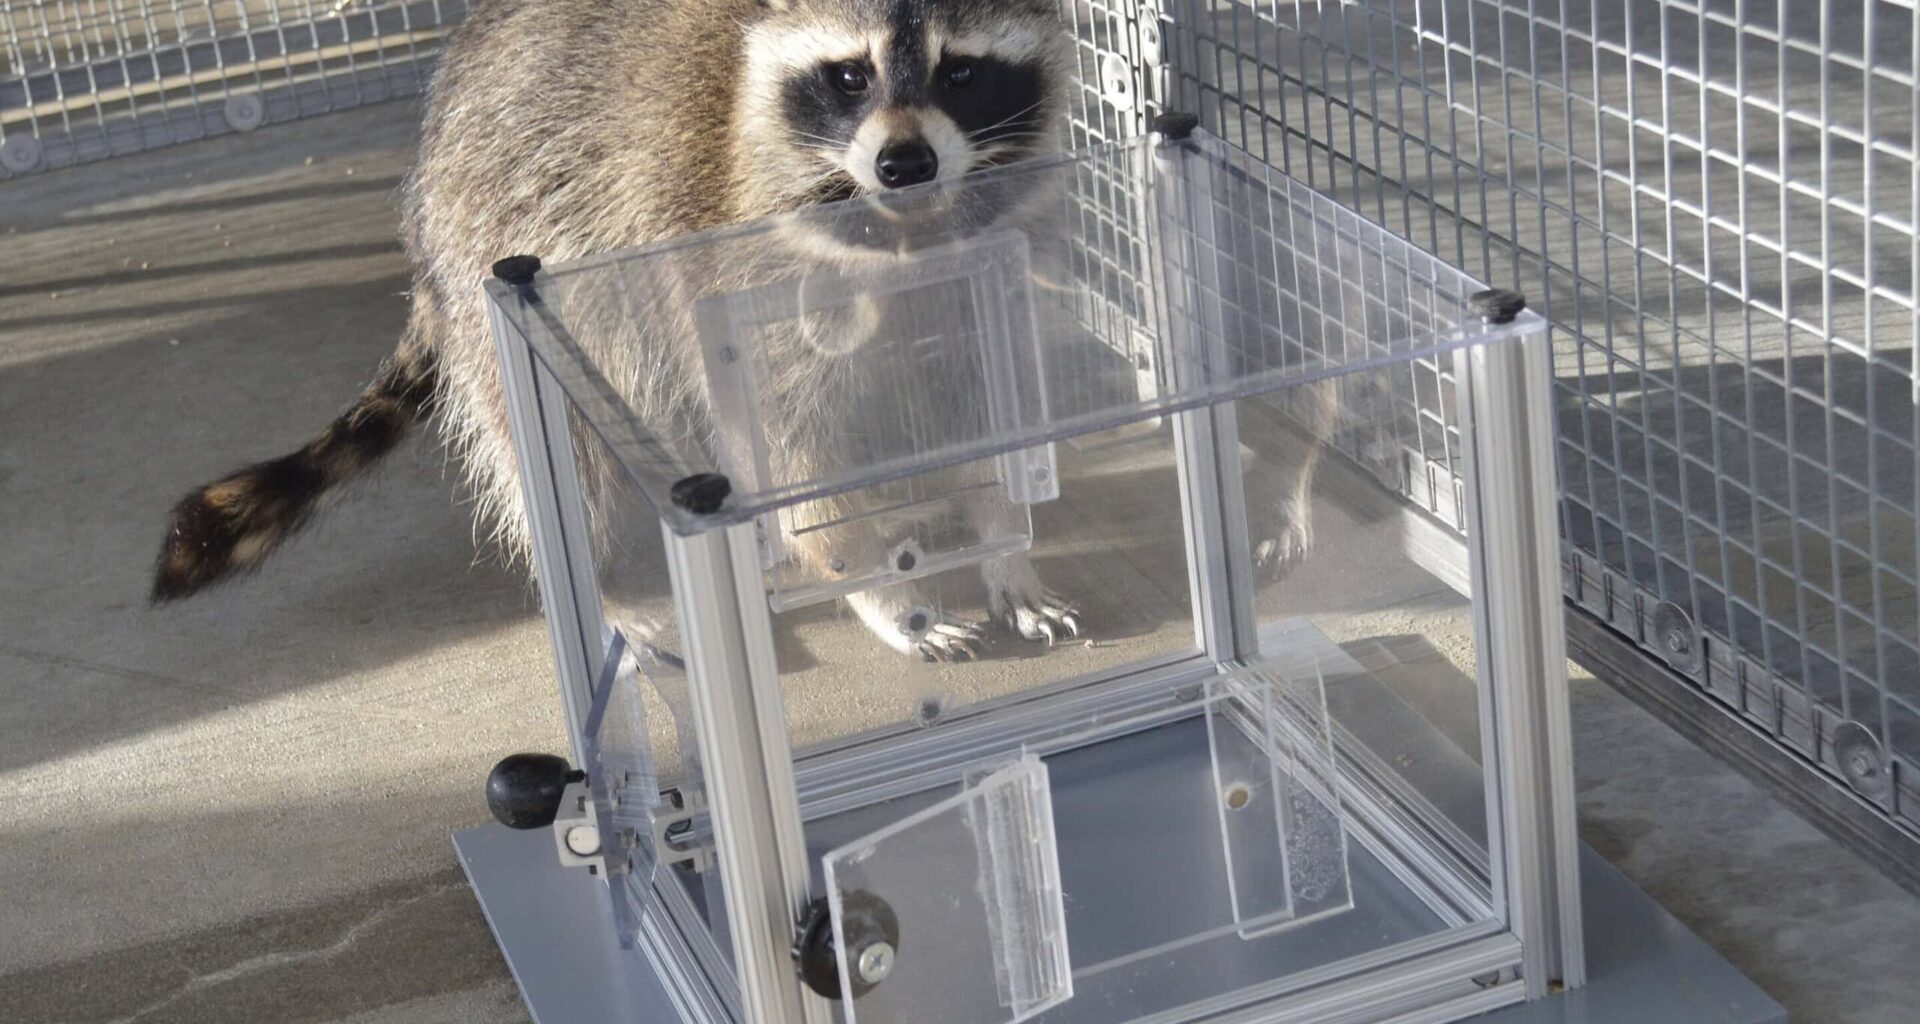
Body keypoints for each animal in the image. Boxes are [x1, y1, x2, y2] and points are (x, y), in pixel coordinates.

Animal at [150, 0, 1087, 659]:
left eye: (961, 72)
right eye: (849, 76)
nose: (904, 162)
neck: (905, 229)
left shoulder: (996, 266)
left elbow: (988, 407)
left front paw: (1004, 539)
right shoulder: (734, 272)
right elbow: (791, 457)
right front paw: (879, 587)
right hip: (492, 258)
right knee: (559, 459)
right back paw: (600, 586)